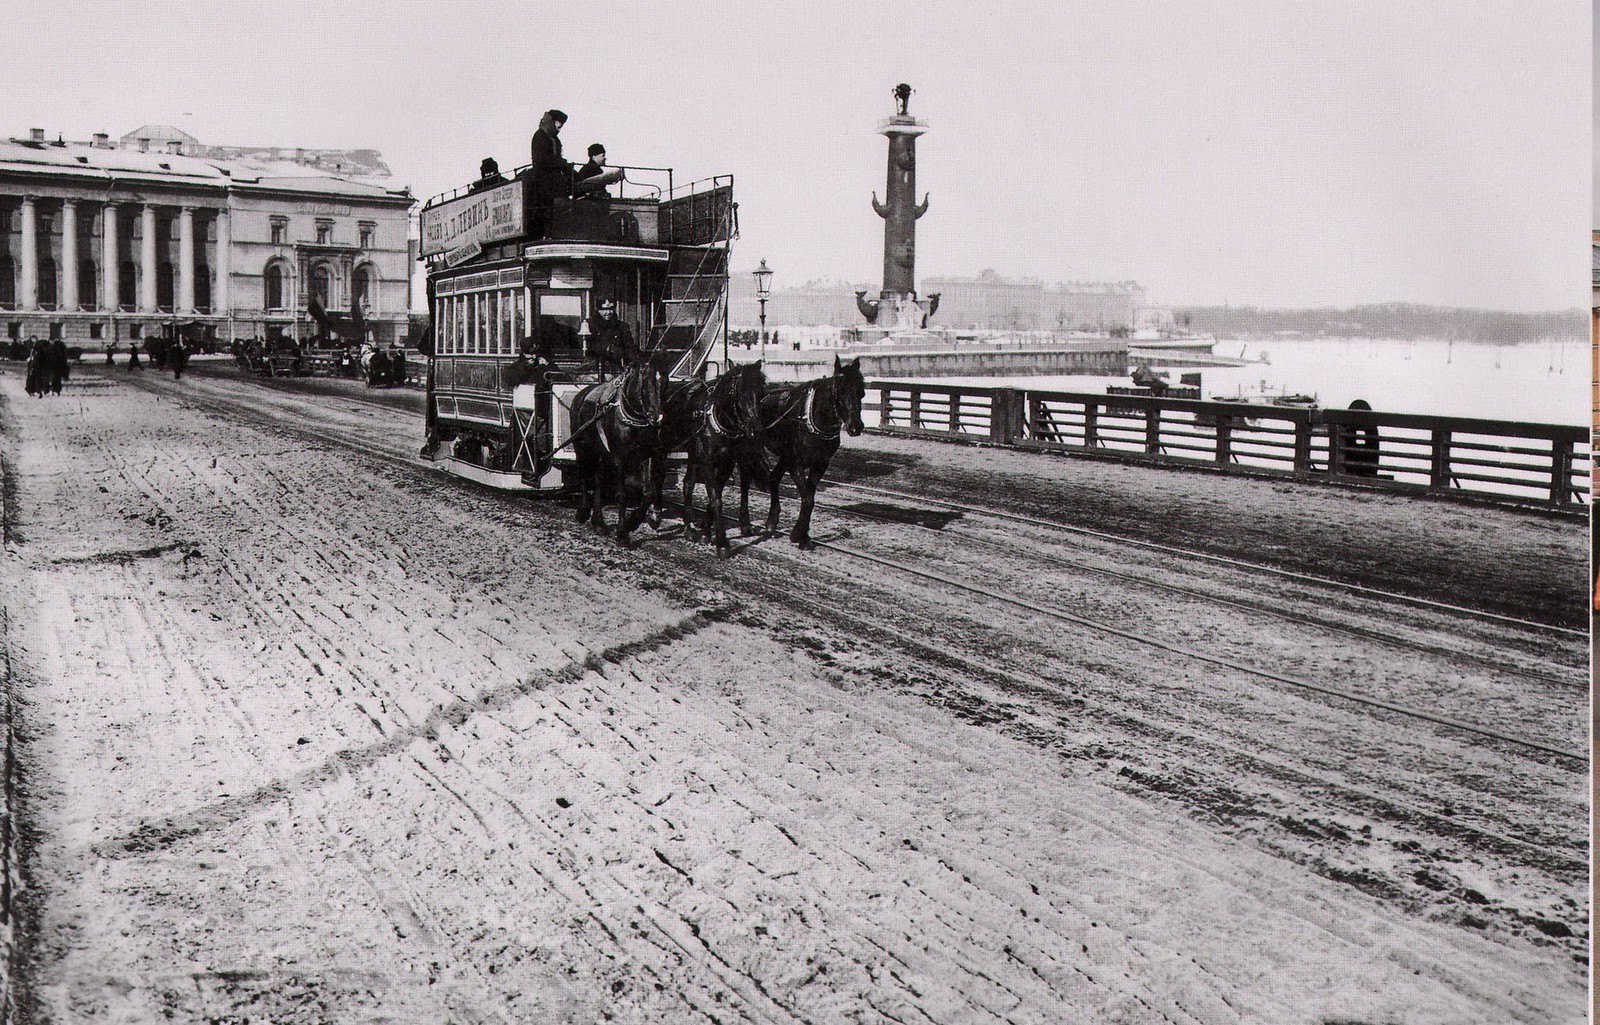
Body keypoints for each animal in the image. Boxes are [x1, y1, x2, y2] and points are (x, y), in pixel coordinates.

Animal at [572, 366, 665, 543]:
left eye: (666, 381)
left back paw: (598, 523)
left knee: (598, 479)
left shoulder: (648, 454)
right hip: (581, 445)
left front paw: (633, 521)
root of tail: (581, 394)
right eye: (645, 384)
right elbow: (622, 495)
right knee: (583, 474)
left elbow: (648, 492)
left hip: (603, 453)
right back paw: (583, 511)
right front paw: (622, 532)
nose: (657, 418)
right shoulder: (618, 458)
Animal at [681, 359, 768, 550]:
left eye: (761, 392)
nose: (756, 430)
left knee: (688, 483)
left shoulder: (727, 463)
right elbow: (716, 499)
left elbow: (715, 496)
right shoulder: (706, 461)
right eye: (739, 392)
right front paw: (722, 543)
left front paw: (706, 532)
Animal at [736, 354, 864, 546]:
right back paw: (745, 524)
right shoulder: (795, 463)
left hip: (784, 456)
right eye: (840, 391)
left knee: (774, 478)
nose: (856, 427)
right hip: (749, 451)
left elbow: (809, 496)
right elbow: (807, 498)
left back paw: (771, 522)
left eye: (861, 391)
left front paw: (803, 535)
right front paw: (798, 534)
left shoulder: (819, 464)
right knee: (745, 481)